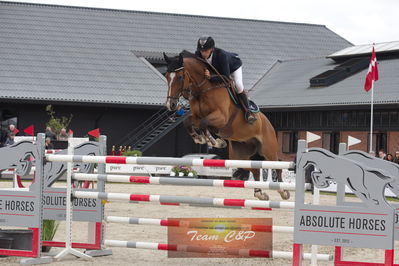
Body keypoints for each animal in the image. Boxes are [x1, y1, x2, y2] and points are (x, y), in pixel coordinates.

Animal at [164, 51, 290, 201]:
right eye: (166, 76)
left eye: (180, 77)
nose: (171, 105)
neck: (203, 89)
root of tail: (268, 123)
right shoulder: (196, 116)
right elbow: (188, 122)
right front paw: (200, 138)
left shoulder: (221, 118)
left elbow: (204, 123)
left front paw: (213, 141)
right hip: (239, 155)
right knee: (254, 168)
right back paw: (260, 193)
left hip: (268, 149)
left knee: (277, 165)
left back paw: (283, 191)